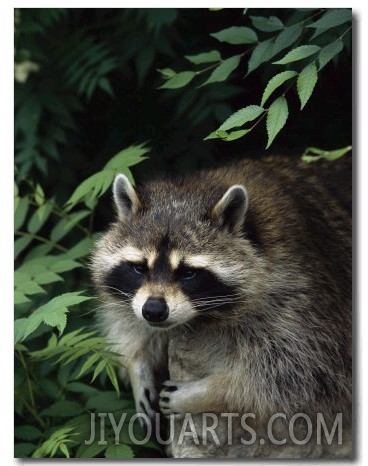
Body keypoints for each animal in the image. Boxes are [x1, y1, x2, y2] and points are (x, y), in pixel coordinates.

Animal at [90, 155, 352, 438]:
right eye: (139, 267)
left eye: (189, 273)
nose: (154, 311)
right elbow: (130, 325)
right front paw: (137, 367)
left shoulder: (301, 295)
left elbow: (296, 373)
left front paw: (210, 392)